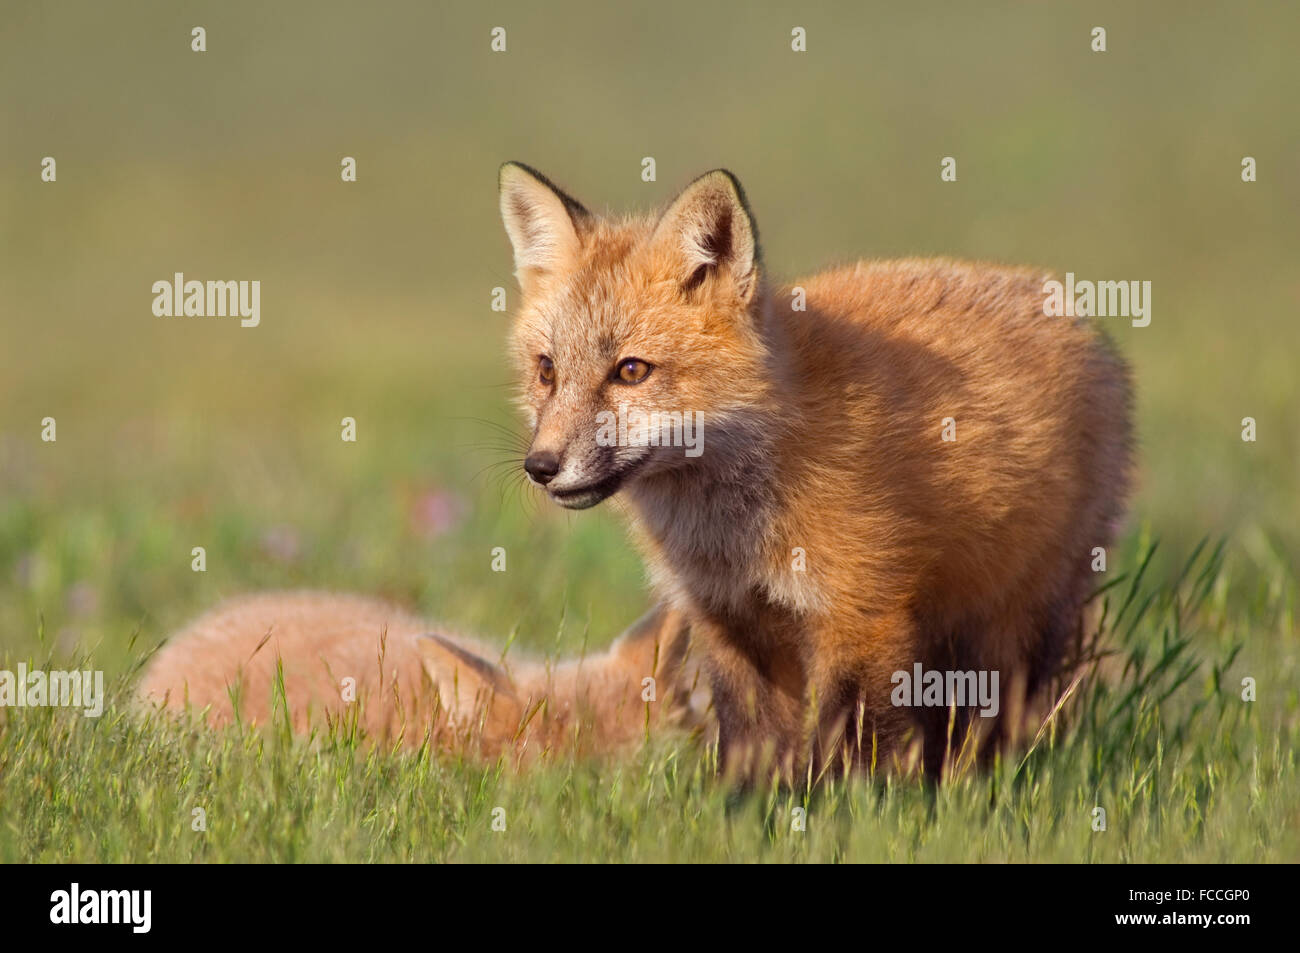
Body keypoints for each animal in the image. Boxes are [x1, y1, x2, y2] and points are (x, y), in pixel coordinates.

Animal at [496, 157, 1128, 780]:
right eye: (547, 370)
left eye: (631, 371)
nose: (541, 467)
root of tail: (1062, 305)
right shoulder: (728, 620)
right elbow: (750, 751)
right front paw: (751, 805)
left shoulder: (861, 613)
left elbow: (858, 750)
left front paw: (857, 806)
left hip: (1014, 624)